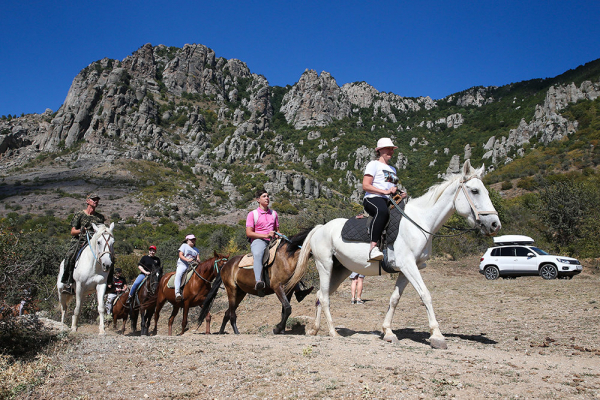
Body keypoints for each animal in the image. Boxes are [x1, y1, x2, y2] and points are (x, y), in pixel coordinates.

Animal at [304, 161, 502, 348]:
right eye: (475, 191)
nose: (494, 224)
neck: (420, 222)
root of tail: (320, 228)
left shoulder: (406, 269)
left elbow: (394, 299)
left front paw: (388, 332)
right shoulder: (408, 265)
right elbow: (425, 295)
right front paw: (437, 336)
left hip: (341, 270)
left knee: (321, 295)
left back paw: (315, 329)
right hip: (325, 266)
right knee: (324, 297)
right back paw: (333, 332)